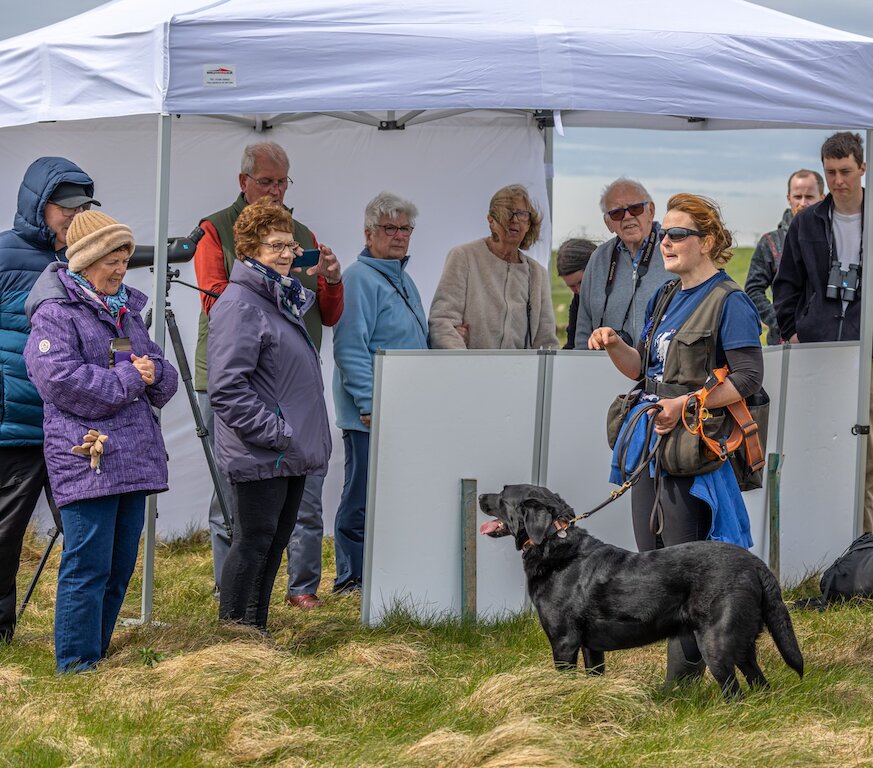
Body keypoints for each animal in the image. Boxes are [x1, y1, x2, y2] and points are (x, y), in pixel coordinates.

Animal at [480, 486, 800, 696]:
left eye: (503, 494)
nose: (481, 496)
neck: (553, 542)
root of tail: (756, 563)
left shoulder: (564, 642)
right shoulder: (591, 647)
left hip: (716, 642)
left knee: (734, 692)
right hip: (742, 644)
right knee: (759, 684)